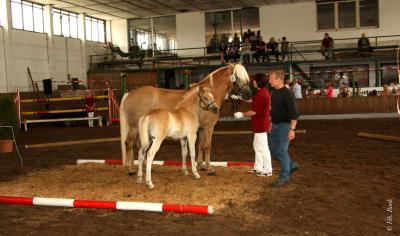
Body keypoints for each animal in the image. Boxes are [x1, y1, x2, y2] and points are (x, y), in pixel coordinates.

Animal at [119, 62, 250, 175]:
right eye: (237, 77)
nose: (249, 95)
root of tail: (129, 94)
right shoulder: (208, 127)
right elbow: (207, 146)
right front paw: (209, 167)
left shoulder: (200, 128)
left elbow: (200, 145)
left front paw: (200, 165)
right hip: (134, 127)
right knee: (129, 143)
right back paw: (131, 169)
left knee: (139, 145)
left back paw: (144, 167)